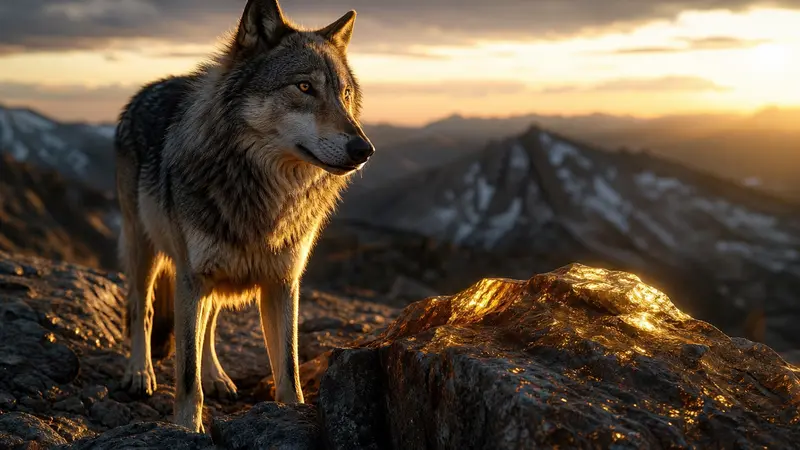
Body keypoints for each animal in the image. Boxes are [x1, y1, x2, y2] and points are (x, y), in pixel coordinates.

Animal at [114, 0, 373, 432]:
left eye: (345, 93)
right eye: (304, 87)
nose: (364, 149)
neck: (263, 194)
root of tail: (150, 87)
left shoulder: (282, 283)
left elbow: (288, 369)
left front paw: (290, 414)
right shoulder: (192, 276)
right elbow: (186, 376)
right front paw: (188, 428)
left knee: (208, 325)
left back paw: (217, 376)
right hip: (145, 250)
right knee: (142, 310)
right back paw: (139, 372)